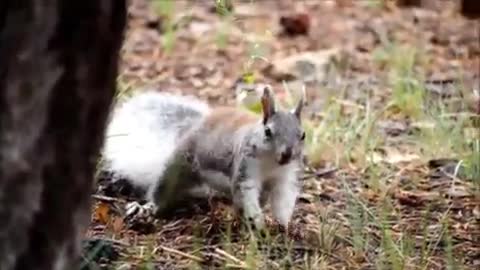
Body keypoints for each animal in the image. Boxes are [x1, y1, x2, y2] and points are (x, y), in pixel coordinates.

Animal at [101, 85, 306, 229]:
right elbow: (246, 194)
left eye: (303, 135)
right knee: (162, 191)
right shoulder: (245, 168)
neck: (271, 164)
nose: (287, 154)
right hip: (178, 165)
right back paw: (147, 208)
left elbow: (283, 200)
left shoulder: (285, 178)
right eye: (268, 132)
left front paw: (283, 225)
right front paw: (258, 221)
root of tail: (194, 125)